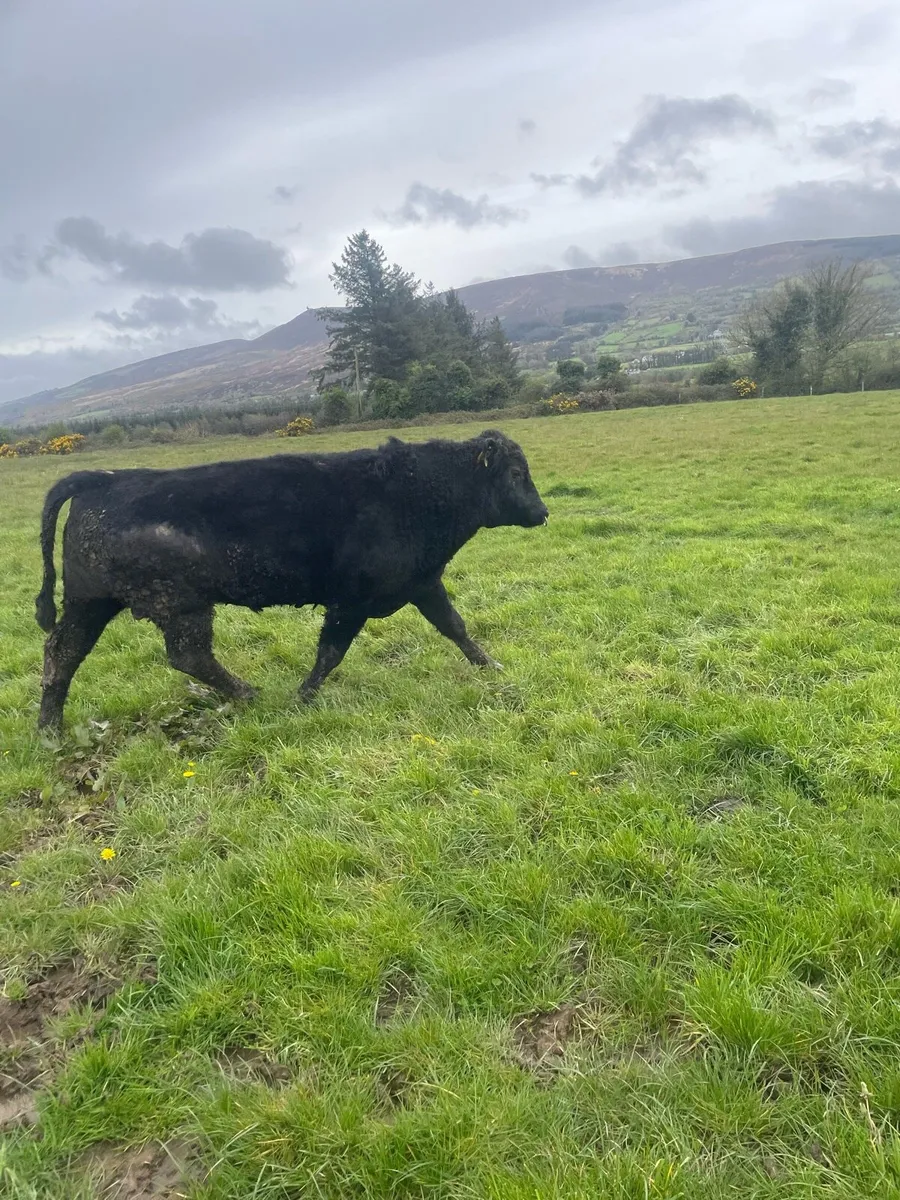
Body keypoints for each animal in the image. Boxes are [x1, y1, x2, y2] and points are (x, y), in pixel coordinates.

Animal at [34, 429, 548, 730]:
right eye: (516, 472)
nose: (542, 512)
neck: (417, 491)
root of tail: (105, 479)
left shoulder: (423, 585)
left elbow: (456, 627)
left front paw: (491, 666)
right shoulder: (351, 602)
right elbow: (331, 652)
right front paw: (303, 697)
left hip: (91, 602)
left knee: (63, 652)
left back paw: (50, 730)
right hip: (181, 606)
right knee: (188, 656)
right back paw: (247, 693)